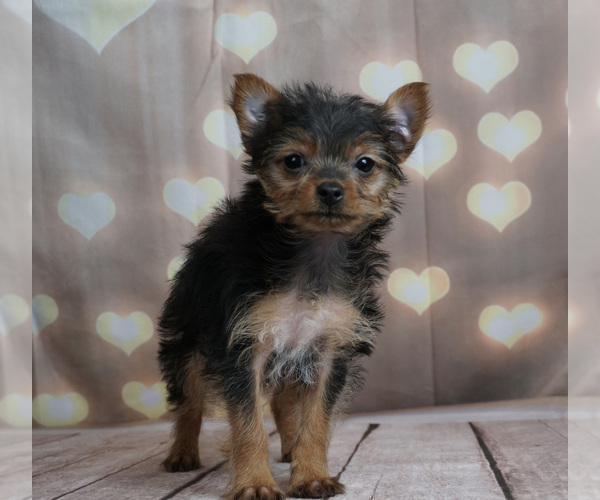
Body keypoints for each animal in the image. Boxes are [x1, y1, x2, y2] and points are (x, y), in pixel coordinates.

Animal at [159, 72, 428, 498]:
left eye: (365, 164)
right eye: (293, 161)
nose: (331, 189)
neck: (313, 252)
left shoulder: (330, 348)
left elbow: (316, 419)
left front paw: (312, 474)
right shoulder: (243, 347)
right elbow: (248, 423)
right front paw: (255, 483)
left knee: (285, 405)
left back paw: (289, 449)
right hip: (186, 337)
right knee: (190, 399)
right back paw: (182, 453)